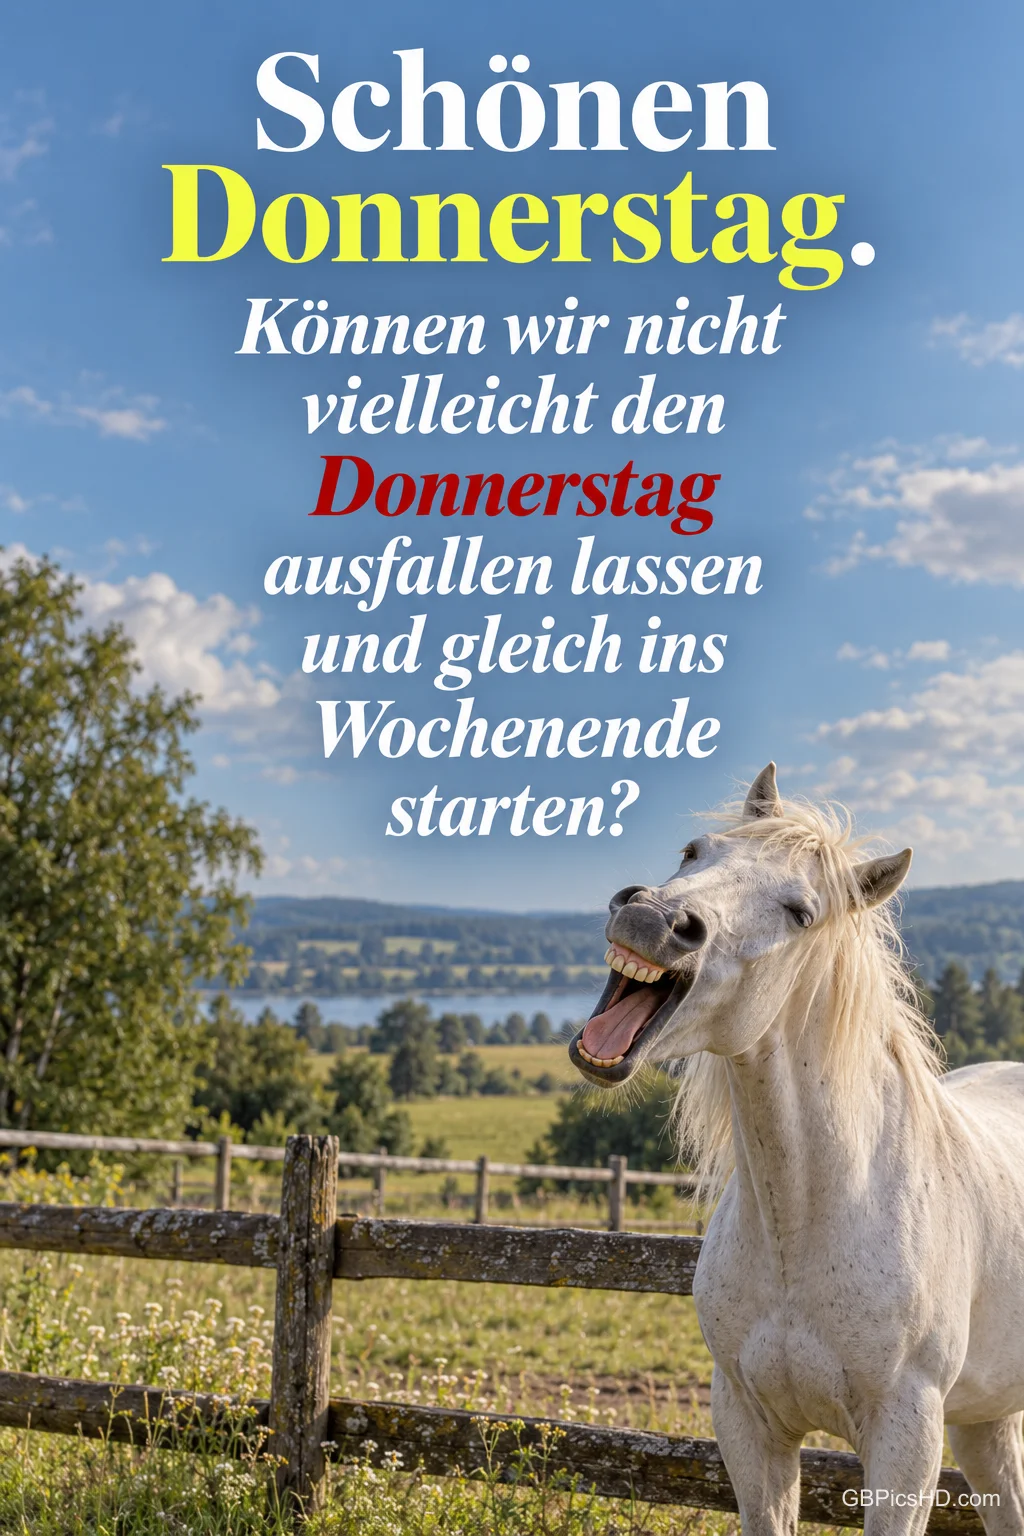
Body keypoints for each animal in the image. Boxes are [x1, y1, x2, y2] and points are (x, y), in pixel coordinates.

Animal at [569, 764, 1024, 1535]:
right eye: (693, 852)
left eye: (801, 913)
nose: (654, 919)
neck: (808, 1215)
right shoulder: (749, 1425)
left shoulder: (905, 1440)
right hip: (983, 1419)